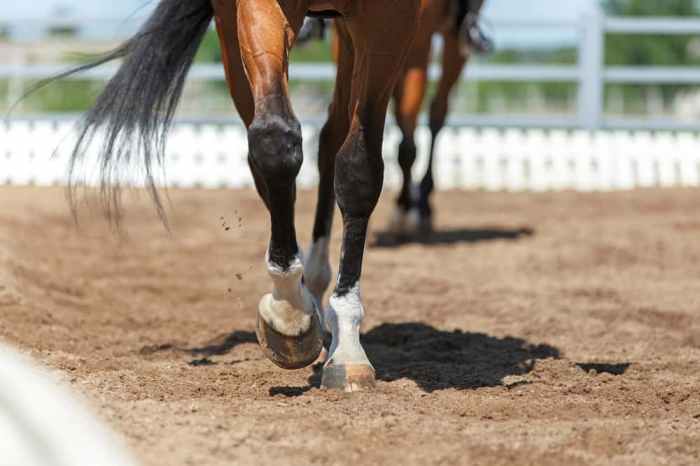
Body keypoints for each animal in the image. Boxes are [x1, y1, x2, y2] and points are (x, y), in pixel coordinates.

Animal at [43, 0, 422, 392]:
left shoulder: (391, 20)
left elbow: (359, 169)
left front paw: (347, 348)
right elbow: (274, 141)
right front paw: (290, 314)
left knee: (332, 140)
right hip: (234, 33)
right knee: (276, 149)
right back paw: (309, 298)